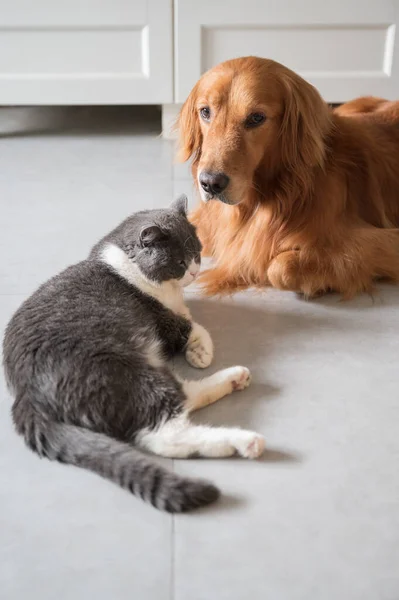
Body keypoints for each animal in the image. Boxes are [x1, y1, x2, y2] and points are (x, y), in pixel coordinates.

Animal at [3, 196, 266, 510]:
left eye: (198, 253)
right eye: (179, 262)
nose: (193, 271)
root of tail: (25, 395)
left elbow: (187, 317)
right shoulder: (161, 320)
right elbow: (189, 326)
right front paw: (202, 352)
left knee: (182, 399)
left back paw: (235, 379)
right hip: (123, 371)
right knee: (165, 433)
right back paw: (245, 439)